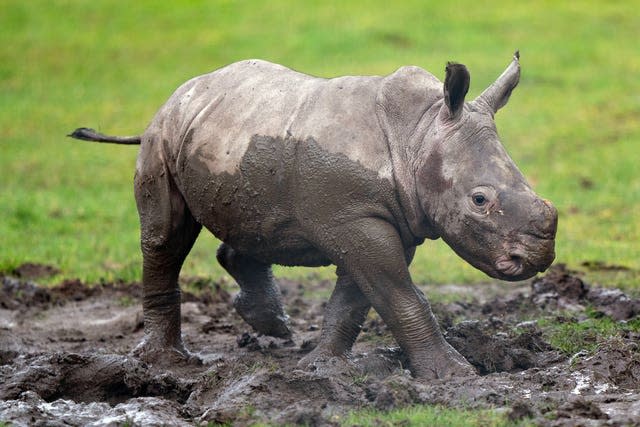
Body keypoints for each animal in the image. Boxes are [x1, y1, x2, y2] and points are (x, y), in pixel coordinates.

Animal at [72, 51, 556, 380]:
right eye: (480, 200)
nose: (537, 258)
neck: (417, 134)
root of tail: (176, 96)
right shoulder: (356, 218)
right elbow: (398, 294)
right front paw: (453, 376)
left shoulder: (384, 219)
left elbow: (359, 295)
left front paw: (321, 368)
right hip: (164, 136)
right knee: (164, 238)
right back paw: (166, 361)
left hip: (233, 129)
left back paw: (270, 325)